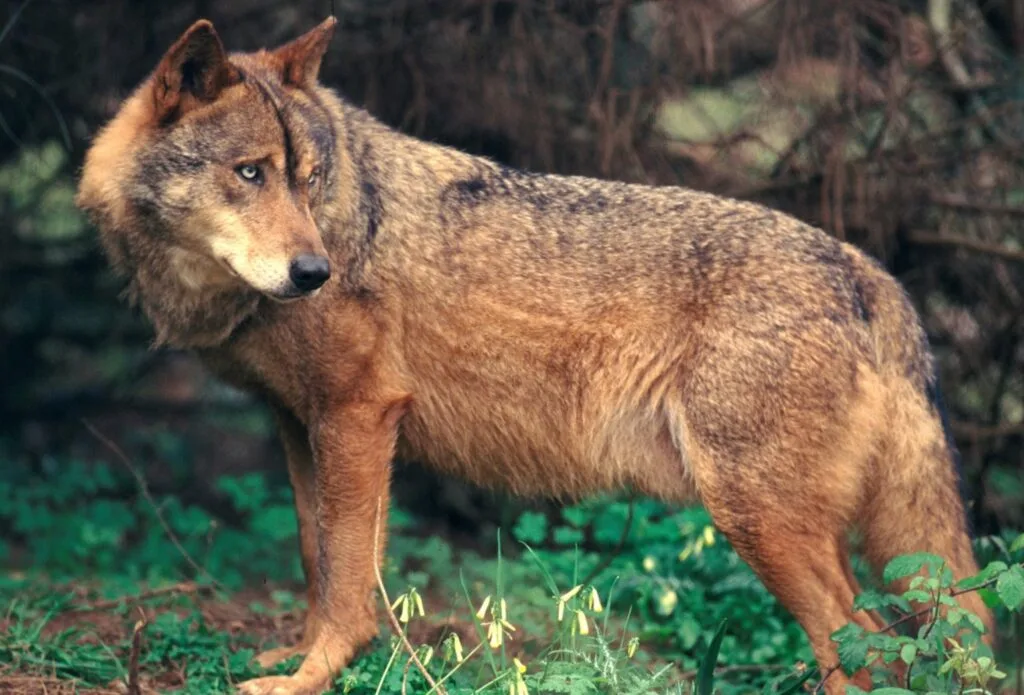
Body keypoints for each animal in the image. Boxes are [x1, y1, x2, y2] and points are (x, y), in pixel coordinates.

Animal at [76, 17, 993, 695]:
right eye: (250, 173)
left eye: (306, 180)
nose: (315, 272)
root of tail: (869, 272)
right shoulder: (302, 426)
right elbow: (317, 555)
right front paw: (292, 655)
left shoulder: (361, 415)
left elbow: (347, 582)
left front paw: (309, 677)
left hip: (755, 517)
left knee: (863, 645)